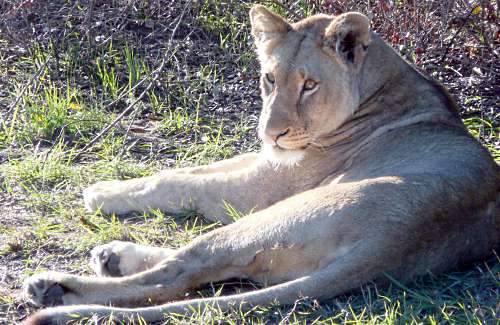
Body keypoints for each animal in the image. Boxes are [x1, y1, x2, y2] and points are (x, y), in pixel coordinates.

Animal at [21, 5, 498, 324]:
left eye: (309, 85)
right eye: (270, 78)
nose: (272, 133)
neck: (382, 83)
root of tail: (395, 245)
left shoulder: (268, 186)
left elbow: (180, 184)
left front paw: (100, 193)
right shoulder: (268, 163)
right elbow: (191, 171)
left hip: (277, 214)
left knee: (177, 275)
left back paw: (55, 289)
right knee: (211, 271)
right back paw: (111, 256)